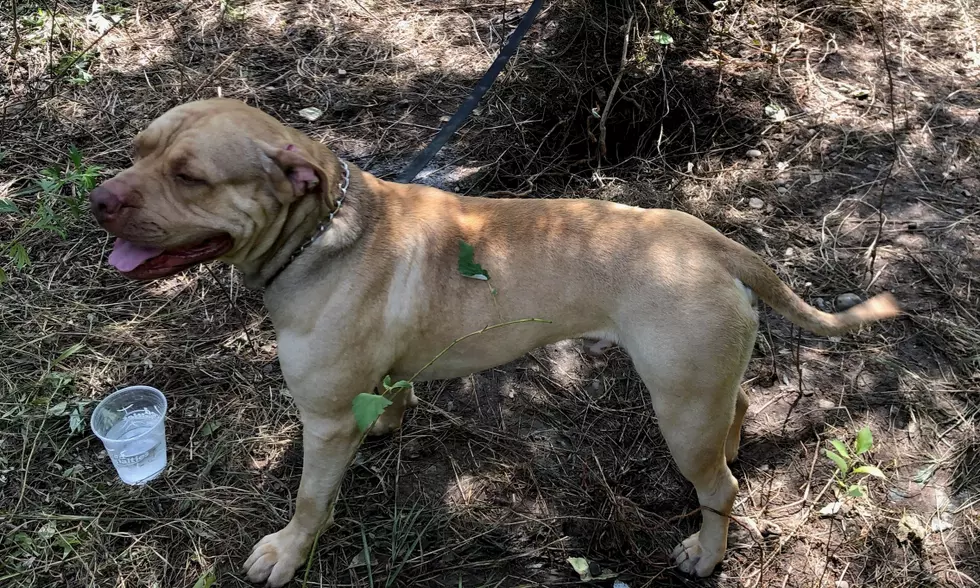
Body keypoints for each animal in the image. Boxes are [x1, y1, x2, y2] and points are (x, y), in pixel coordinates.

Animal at [88, 99, 900, 584]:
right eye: (136, 149)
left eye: (190, 177)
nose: (99, 197)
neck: (322, 233)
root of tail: (713, 242)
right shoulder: (377, 380)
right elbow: (393, 395)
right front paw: (388, 422)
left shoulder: (320, 422)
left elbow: (312, 499)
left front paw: (288, 551)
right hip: (703, 393)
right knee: (736, 419)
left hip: (680, 407)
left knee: (720, 487)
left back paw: (705, 552)